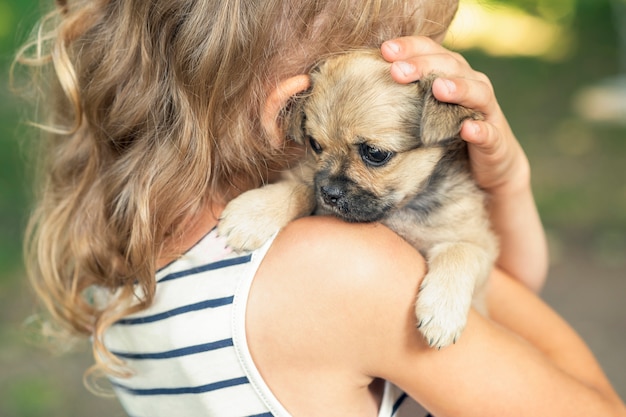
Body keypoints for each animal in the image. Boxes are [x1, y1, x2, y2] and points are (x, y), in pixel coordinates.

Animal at [219, 48, 498, 348]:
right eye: (315, 145)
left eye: (374, 153)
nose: (328, 193)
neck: (399, 210)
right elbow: (301, 187)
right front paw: (253, 214)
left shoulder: (480, 246)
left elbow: (460, 251)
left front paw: (442, 312)